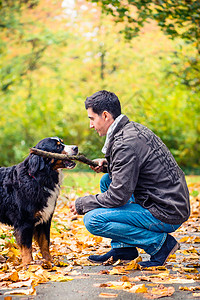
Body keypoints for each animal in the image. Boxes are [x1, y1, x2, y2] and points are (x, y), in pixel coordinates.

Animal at [0, 137, 78, 266]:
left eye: (62, 141)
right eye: (58, 146)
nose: (76, 148)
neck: (38, 179)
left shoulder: (45, 219)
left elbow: (45, 242)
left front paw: (49, 262)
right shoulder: (24, 222)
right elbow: (27, 247)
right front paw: (29, 265)